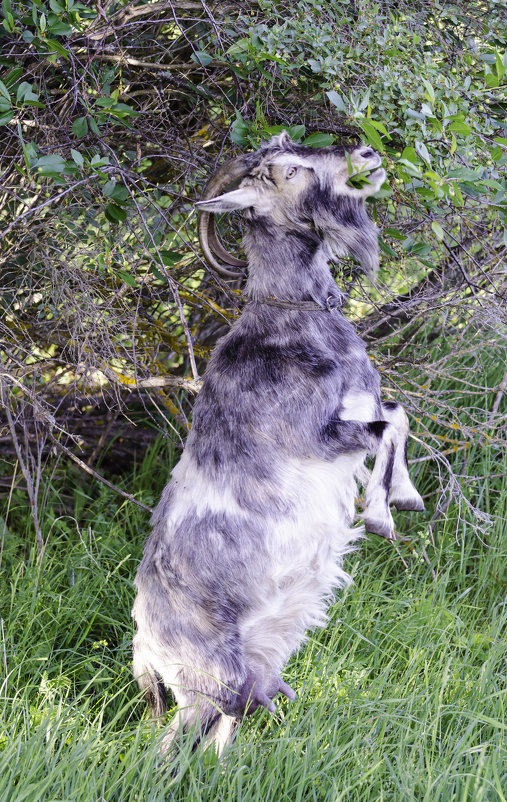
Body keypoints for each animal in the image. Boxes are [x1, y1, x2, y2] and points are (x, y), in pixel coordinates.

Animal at [132, 130, 424, 752]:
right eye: (289, 170)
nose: (367, 156)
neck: (292, 318)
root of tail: (144, 644)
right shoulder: (320, 437)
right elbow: (390, 425)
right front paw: (382, 516)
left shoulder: (361, 411)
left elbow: (397, 413)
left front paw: (404, 496)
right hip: (207, 682)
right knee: (173, 747)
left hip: (248, 680)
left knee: (218, 738)